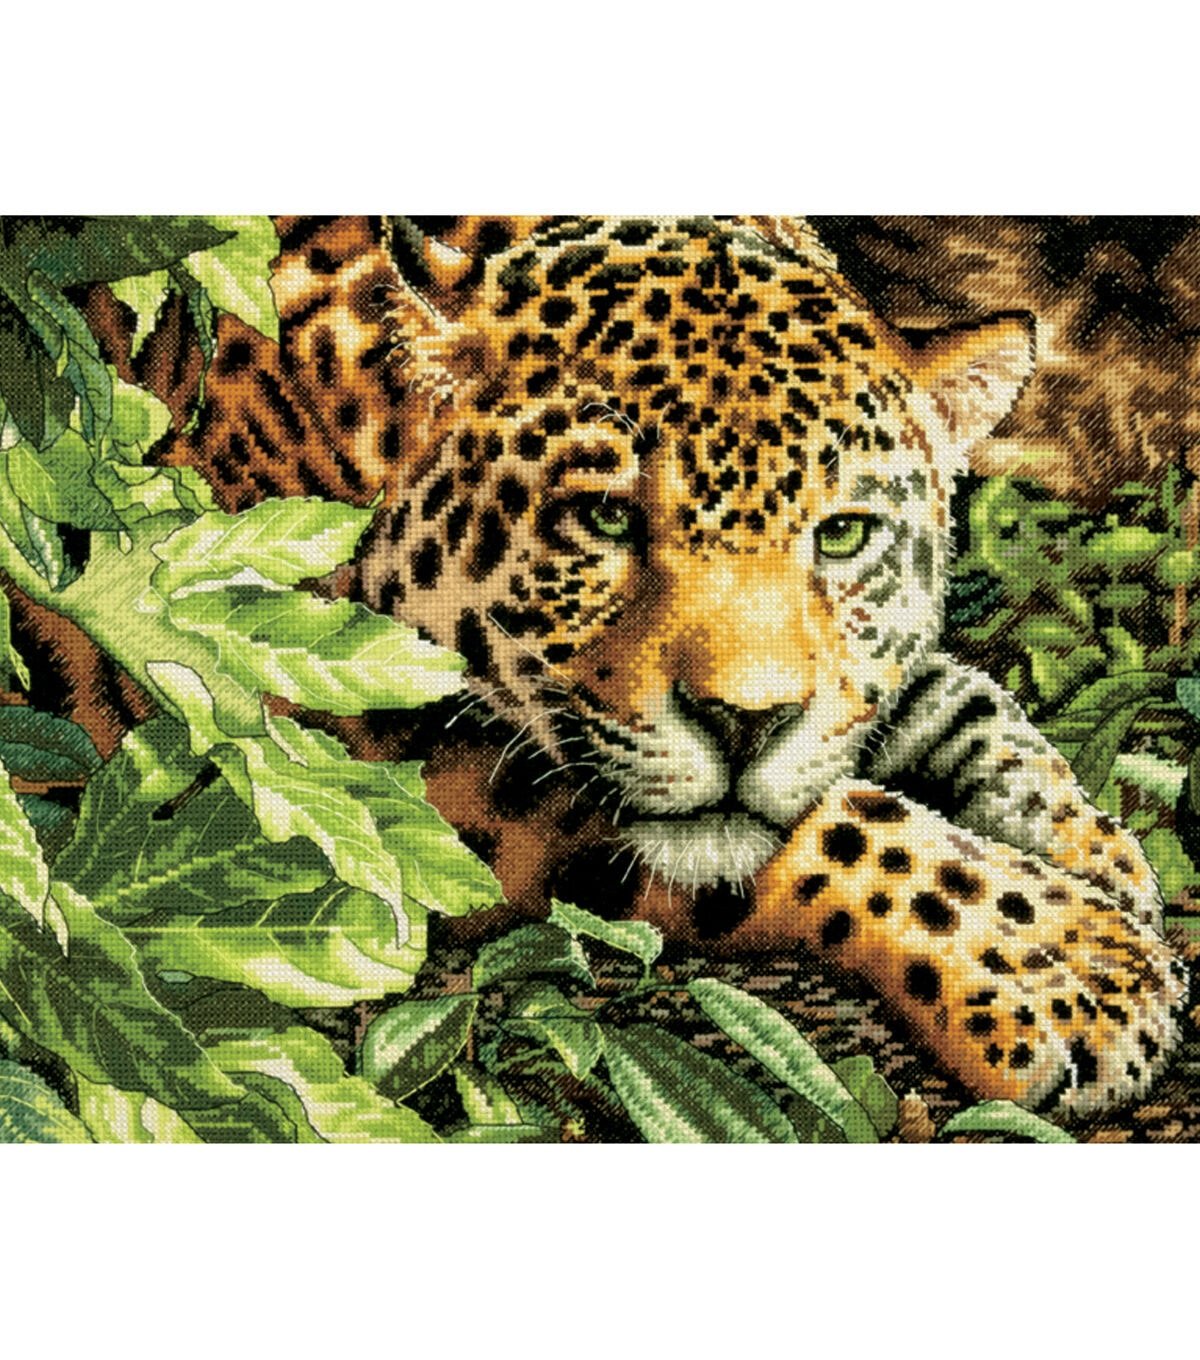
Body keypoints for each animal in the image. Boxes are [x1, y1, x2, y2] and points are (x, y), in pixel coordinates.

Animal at [75, 214, 1187, 1122]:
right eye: (605, 519)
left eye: (842, 535)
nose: (744, 723)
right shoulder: (344, 750)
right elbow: (843, 823)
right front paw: (1069, 963)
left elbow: (961, 701)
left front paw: (1099, 857)